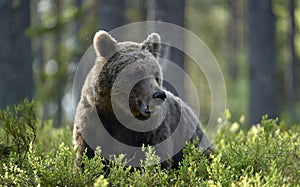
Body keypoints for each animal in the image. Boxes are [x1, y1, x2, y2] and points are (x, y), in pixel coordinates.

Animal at [72, 30, 213, 168]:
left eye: (156, 75)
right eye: (138, 73)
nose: (159, 95)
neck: (118, 112)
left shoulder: (149, 132)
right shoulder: (92, 123)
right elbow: (87, 155)